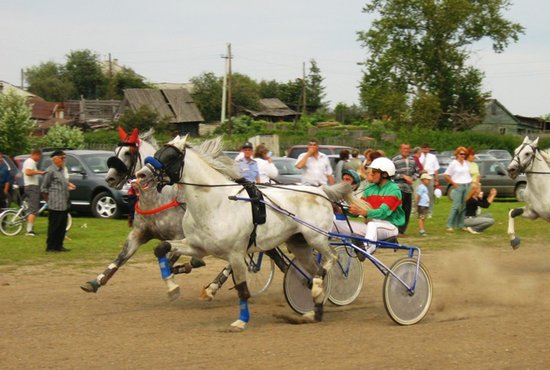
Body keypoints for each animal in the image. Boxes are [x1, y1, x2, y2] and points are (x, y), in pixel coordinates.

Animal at [137, 135, 354, 330]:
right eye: (157, 153)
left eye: (169, 156)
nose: (140, 175)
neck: (216, 203)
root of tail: (322, 191)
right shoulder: (196, 247)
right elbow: (161, 248)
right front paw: (173, 288)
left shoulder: (235, 254)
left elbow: (242, 290)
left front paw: (241, 321)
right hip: (298, 243)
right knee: (313, 271)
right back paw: (315, 310)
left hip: (316, 237)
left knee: (331, 258)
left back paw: (318, 288)